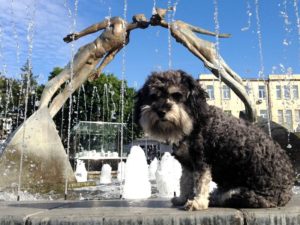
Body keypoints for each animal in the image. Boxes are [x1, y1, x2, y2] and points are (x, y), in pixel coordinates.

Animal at [135, 69, 294, 210]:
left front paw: (198, 202)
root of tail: (288, 191)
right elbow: (184, 182)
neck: (194, 122)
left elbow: (201, 182)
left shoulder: (202, 160)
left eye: (177, 95)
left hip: (247, 194)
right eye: (153, 96)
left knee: (229, 197)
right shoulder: (188, 163)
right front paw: (182, 198)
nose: (161, 111)